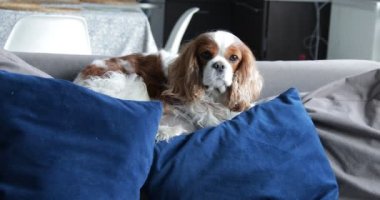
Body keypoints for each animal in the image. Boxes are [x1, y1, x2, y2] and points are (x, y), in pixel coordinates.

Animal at [74, 30, 264, 141]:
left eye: (234, 58)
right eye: (206, 54)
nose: (219, 65)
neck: (213, 96)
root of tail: (79, 81)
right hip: (134, 83)